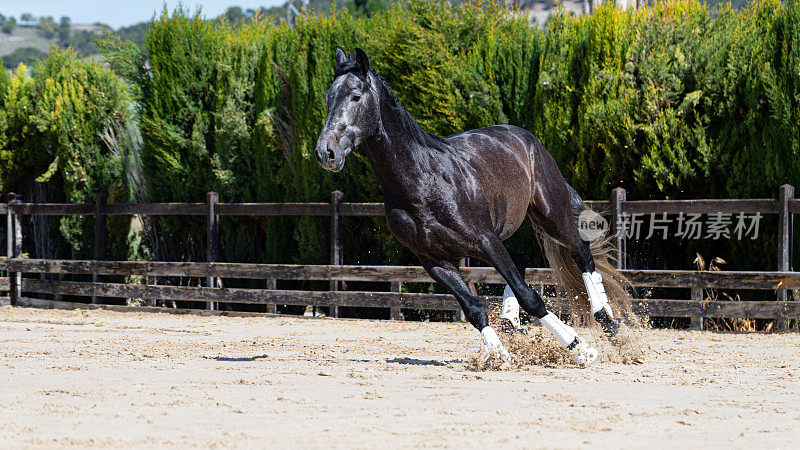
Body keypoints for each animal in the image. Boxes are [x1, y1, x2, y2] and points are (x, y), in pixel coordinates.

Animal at [314, 47, 632, 368]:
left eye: (356, 96)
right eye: (328, 96)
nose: (325, 153)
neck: (422, 182)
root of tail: (529, 141)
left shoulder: (485, 240)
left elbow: (530, 296)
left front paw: (580, 348)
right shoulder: (434, 260)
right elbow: (473, 308)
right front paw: (499, 353)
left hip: (551, 215)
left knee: (582, 255)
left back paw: (609, 324)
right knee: (522, 261)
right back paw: (510, 324)